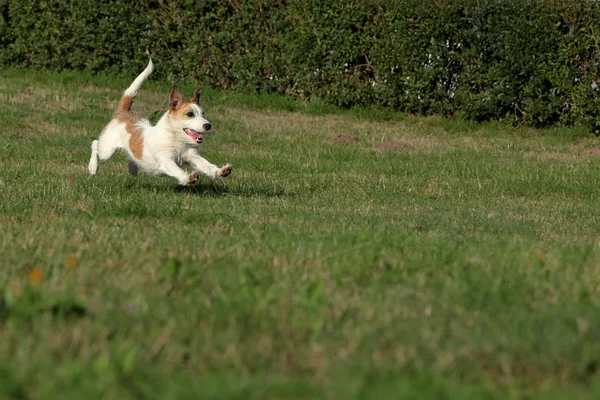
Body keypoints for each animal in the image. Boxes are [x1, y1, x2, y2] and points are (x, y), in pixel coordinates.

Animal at [86, 57, 232, 185]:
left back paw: (133, 168)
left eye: (203, 114)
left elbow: (206, 165)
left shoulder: (193, 157)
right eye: (190, 114)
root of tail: (122, 113)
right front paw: (188, 178)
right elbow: (176, 169)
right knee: (95, 144)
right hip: (107, 150)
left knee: (129, 155)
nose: (208, 125)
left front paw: (220, 171)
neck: (177, 139)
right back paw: (93, 166)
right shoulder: (166, 159)